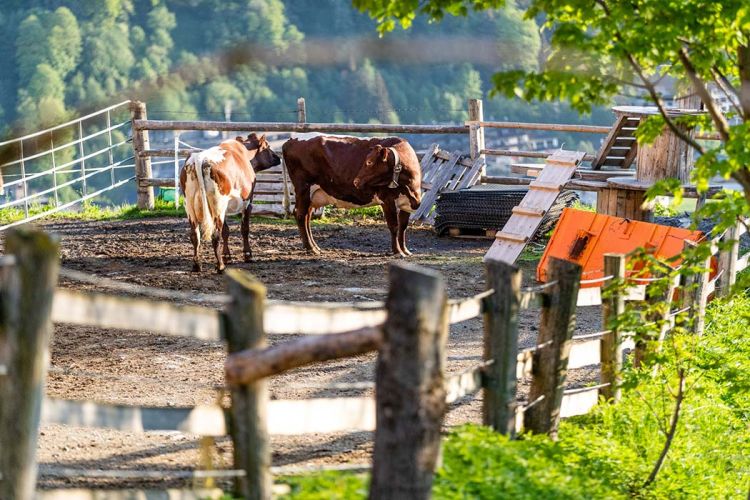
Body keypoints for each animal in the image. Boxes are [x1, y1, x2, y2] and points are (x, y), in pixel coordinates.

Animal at [179, 133, 281, 273]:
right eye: (267, 146)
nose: (278, 158)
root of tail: (200, 158)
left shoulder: (225, 208)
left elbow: (226, 231)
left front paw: (227, 256)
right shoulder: (248, 202)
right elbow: (244, 229)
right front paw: (248, 255)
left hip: (190, 205)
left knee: (195, 235)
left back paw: (197, 265)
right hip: (218, 204)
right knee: (215, 235)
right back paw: (220, 266)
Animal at [282, 135, 422, 256]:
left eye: (369, 162)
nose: (356, 181)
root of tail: (290, 141)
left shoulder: (407, 204)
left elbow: (403, 227)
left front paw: (405, 250)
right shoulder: (387, 200)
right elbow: (394, 226)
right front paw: (397, 251)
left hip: (313, 194)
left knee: (307, 216)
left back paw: (315, 246)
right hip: (303, 188)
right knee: (300, 215)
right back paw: (311, 248)